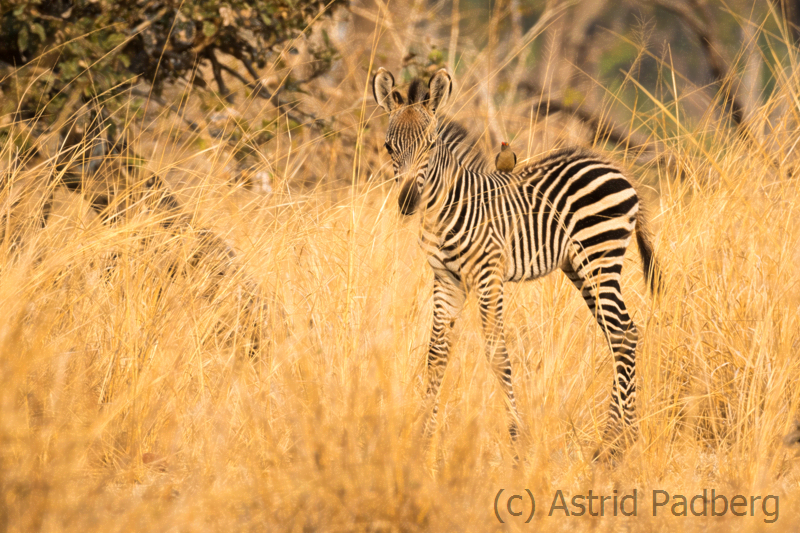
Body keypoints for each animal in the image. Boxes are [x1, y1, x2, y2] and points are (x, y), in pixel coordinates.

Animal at [372, 67, 660, 458]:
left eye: (430, 146)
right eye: (390, 147)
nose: (407, 203)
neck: (446, 207)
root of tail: (616, 169)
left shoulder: (488, 273)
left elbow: (497, 353)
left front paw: (516, 439)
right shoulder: (446, 278)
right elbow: (436, 354)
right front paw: (423, 437)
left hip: (599, 254)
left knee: (625, 332)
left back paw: (614, 444)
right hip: (579, 267)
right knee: (619, 334)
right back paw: (618, 440)